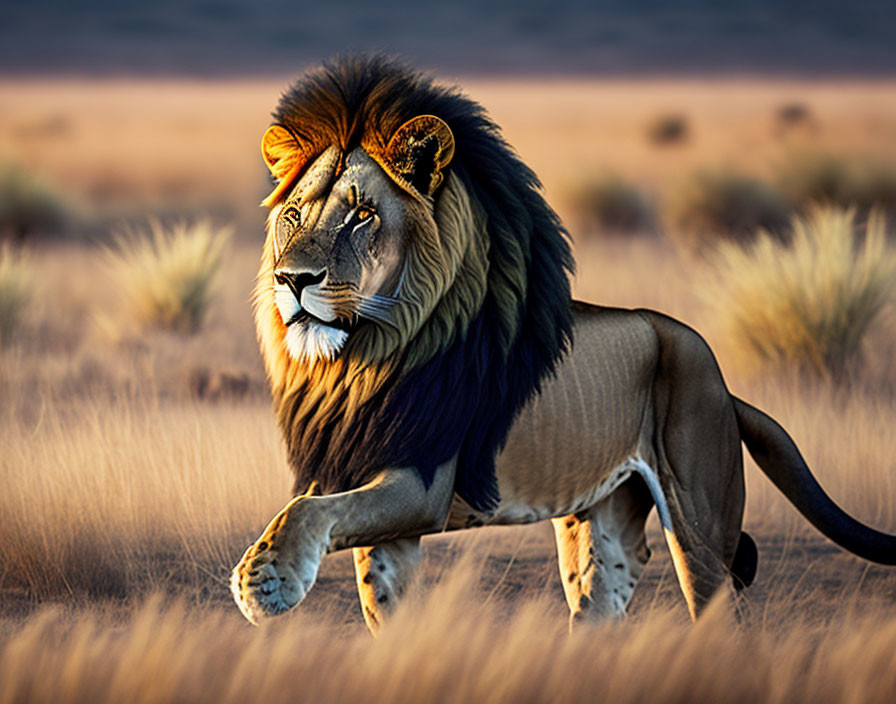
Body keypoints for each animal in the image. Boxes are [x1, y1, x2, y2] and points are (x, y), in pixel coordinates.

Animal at [233, 57, 896, 632]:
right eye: (294, 215)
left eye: (363, 215)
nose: (293, 280)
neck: (358, 361)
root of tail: (720, 379)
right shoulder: (365, 478)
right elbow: (366, 573)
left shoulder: (422, 481)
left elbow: (306, 510)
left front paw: (263, 581)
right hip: (603, 526)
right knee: (603, 598)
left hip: (700, 518)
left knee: (718, 611)